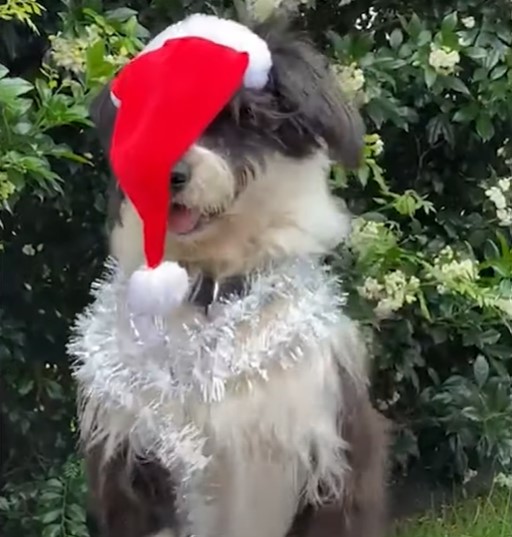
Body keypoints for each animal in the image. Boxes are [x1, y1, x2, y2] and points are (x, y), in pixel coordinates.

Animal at [75, 16, 389, 537]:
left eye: (237, 117)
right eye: (149, 119)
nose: (166, 173)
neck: (212, 294)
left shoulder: (328, 455)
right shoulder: (133, 462)